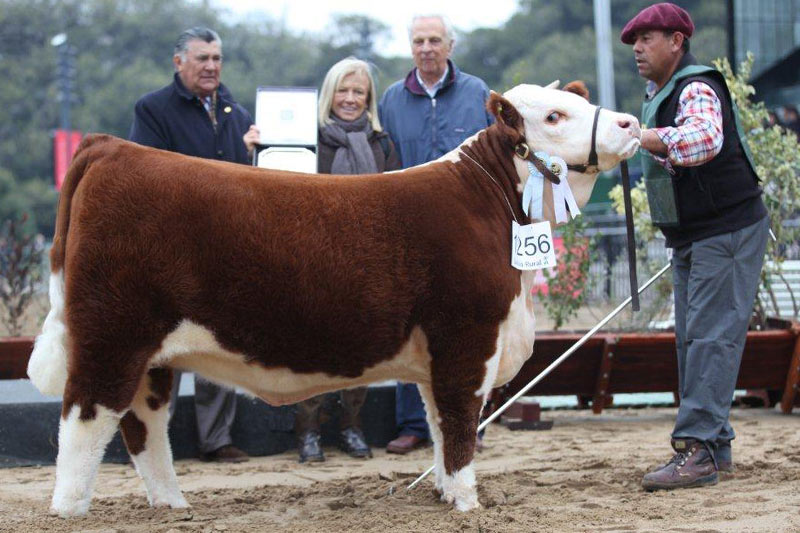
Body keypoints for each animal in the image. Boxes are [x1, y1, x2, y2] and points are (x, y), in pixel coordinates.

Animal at [28, 82, 640, 516]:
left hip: (152, 354)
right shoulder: (467, 337)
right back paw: (69, 510)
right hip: (112, 333)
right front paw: (468, 502)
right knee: (85, 417)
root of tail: (112, 148)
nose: (631, 123)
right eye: (554, 116)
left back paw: (172, 504)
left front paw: (444, 493)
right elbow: (462, 421)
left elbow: (438, 423)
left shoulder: (435, 357)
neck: (488, 199)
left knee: (143, 425)